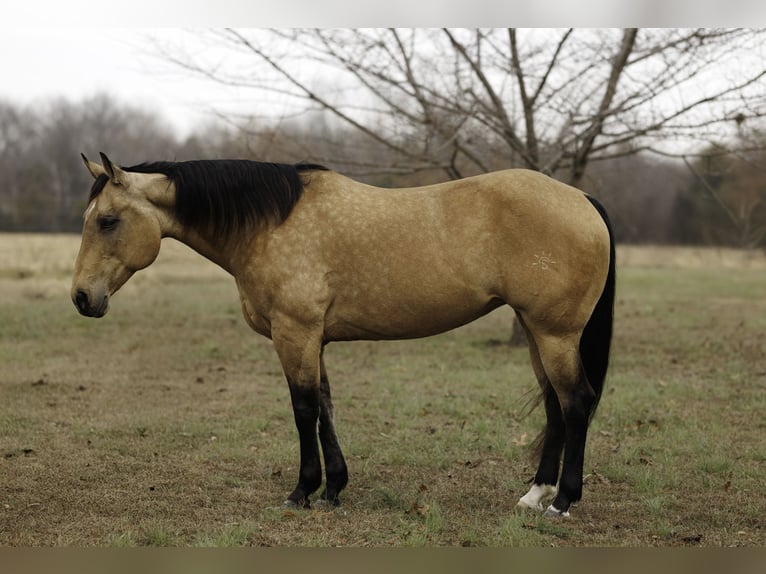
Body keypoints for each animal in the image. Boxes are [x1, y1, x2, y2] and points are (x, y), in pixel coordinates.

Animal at [71, 153, 615, 518]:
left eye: (109, 221)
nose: (81, 297)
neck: (270, 223)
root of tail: (581, 199)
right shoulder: (316, 339)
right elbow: (326, 407)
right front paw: (333, 489)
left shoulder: (294, 334)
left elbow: (303, 409)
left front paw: (301, 492)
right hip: (535, 331)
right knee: (555, 406)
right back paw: (535, 494)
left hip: (555, 333)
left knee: (576, 402)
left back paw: (563, 501)